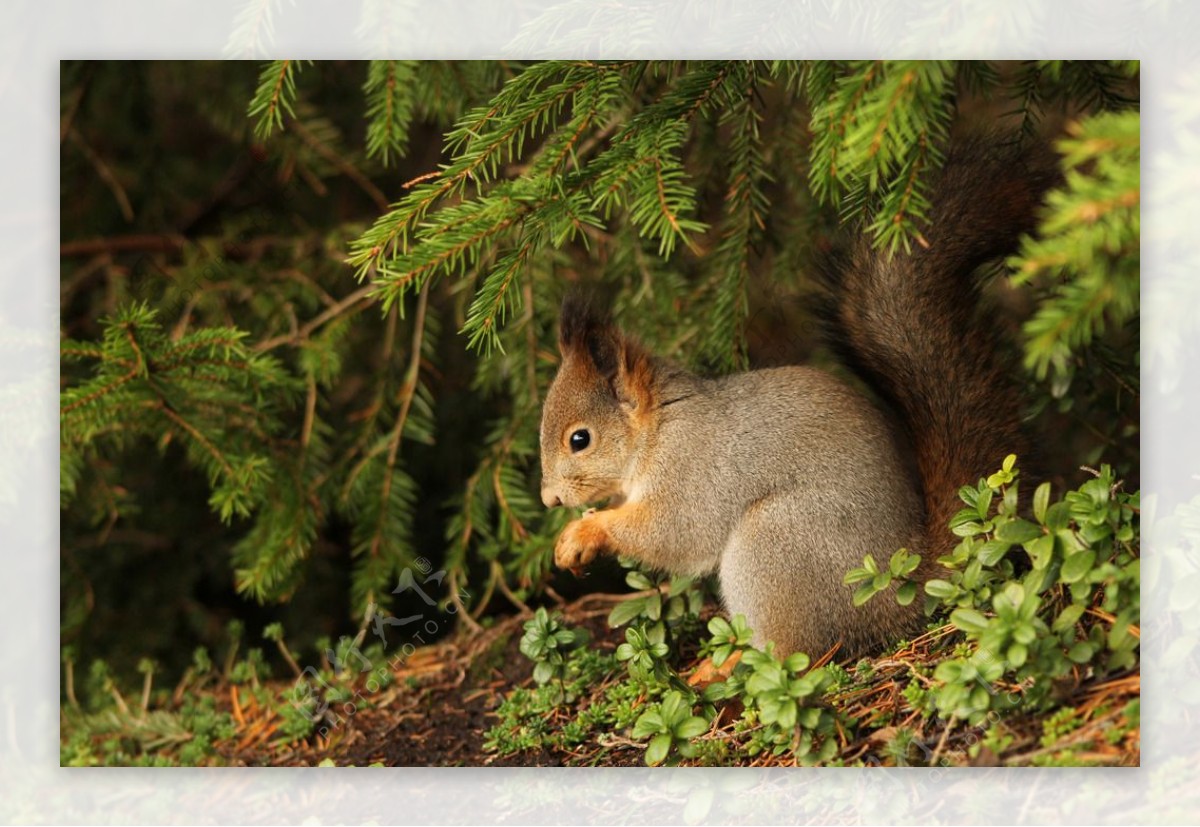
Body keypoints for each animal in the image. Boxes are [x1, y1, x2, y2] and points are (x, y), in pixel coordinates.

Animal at [540, 135, 1056, 652]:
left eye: (580, 439)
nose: (549, 501)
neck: (659, 428)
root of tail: (898, 587)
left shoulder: (693, 472)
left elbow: (674, 532)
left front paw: (585, 532)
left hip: (776, 542)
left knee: (798, 653)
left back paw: (723, 665)